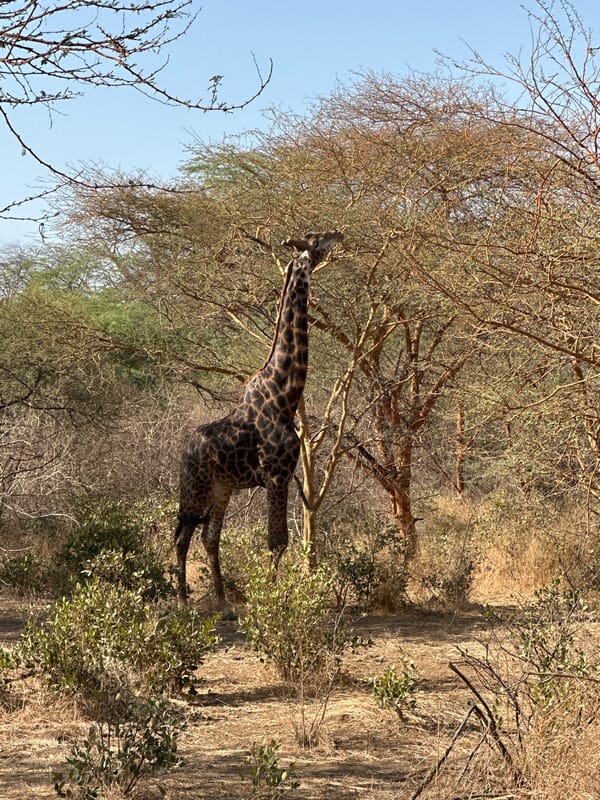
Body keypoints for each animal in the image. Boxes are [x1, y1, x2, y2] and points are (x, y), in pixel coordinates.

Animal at [174, 230, 343, 617]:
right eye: (316, 239)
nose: (339, 233)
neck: (284, 394)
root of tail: (185, 452)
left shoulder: (279, 476)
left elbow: (277, 541)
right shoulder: (276, 474)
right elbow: (276, 541)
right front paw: (274, 600)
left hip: (220, 488)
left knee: (208, 537)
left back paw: (224, 606)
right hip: (194, 487)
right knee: (180, 537)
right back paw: (183, 603)